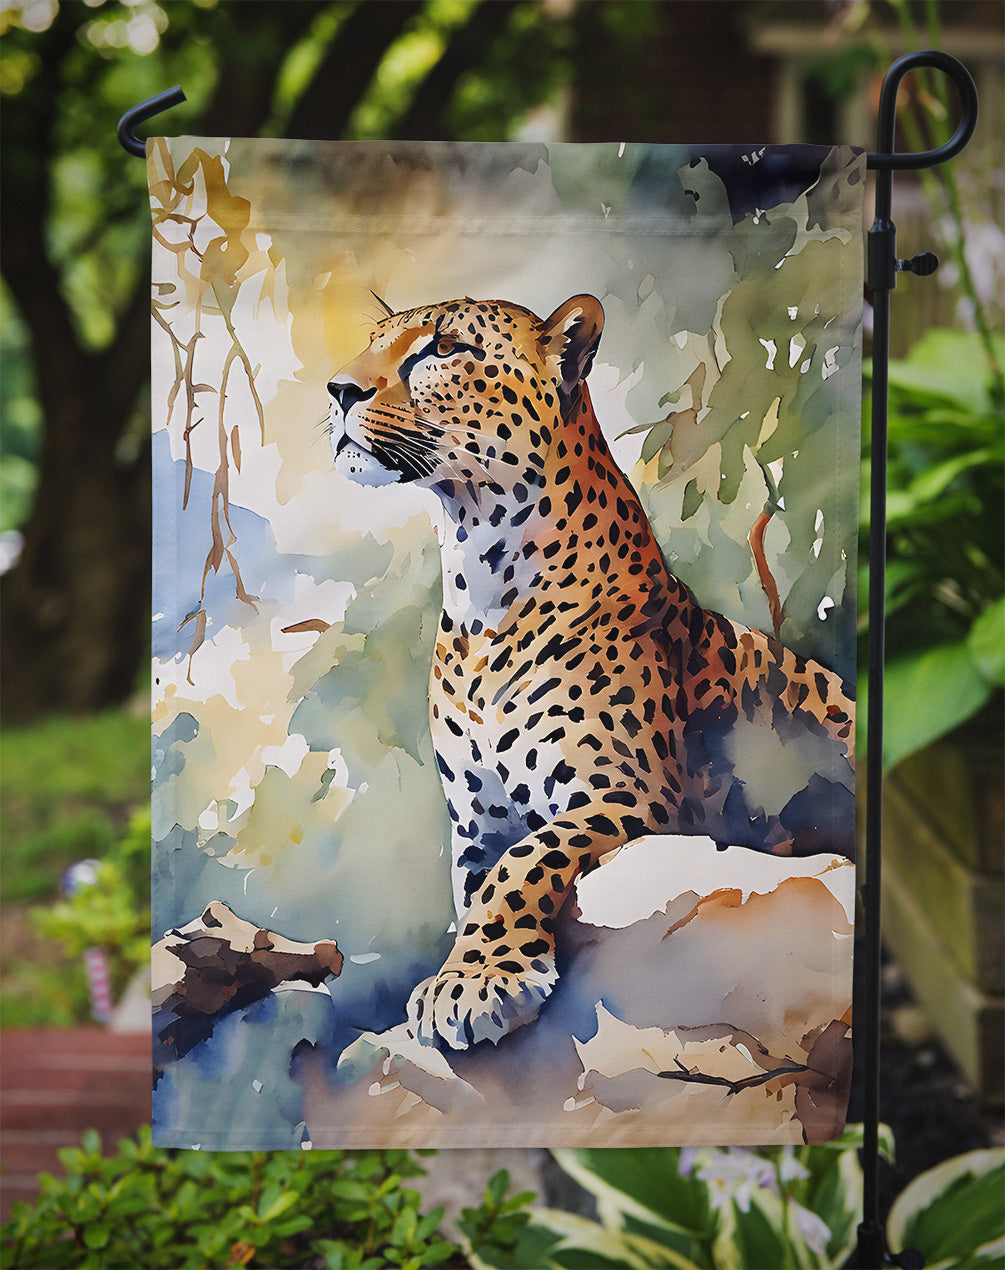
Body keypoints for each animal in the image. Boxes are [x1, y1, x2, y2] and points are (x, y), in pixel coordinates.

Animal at [326, 293, 855, 1052]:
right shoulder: (477, 823)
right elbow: (480, 887)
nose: (338, 390)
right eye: (372, 344)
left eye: (442, 349)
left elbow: (523, 864)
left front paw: (477, 982)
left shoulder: (632, 795)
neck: (478, 581)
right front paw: (467, 968)